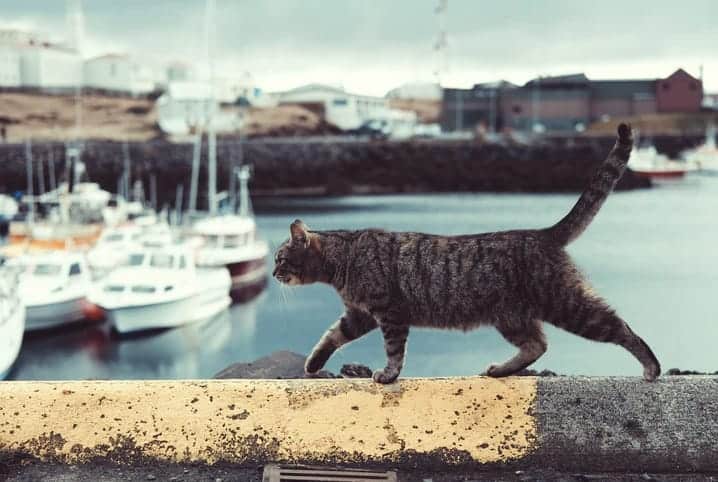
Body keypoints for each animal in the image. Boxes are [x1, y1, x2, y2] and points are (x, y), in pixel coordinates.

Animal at [274, 124, 664, 384]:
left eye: (280, 258)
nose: (274, 273)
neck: (344, 257)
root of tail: (542, 233)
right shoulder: (359, 315)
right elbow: (330, 337)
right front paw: (313, 364)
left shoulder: (389, 312)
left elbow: (394, 350)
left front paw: (388, 374)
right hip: (512, 317)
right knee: (537, 345)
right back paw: (501, 370)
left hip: (567, 304)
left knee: (619, 327)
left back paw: (651, 367)